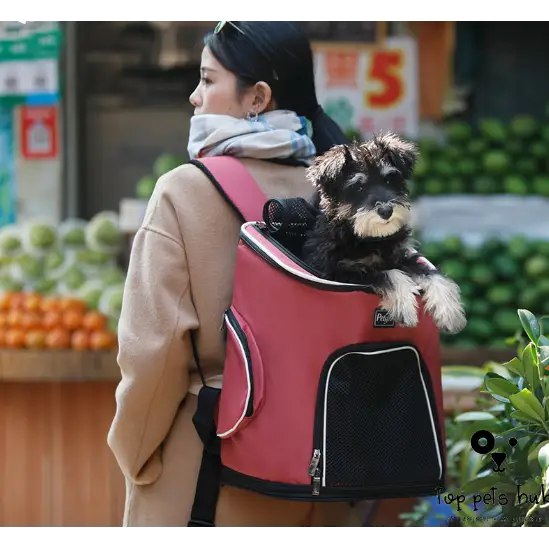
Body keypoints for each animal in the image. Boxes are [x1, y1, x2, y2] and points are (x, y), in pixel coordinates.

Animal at [302, 131, 464, 332]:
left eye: (389, 180)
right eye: (358, 187)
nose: (386, 210)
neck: (371, 239)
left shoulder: (401, 257)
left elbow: (429, 272)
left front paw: (449, 311)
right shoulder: (339, 274)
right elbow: (387, 274)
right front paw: (405, 308)